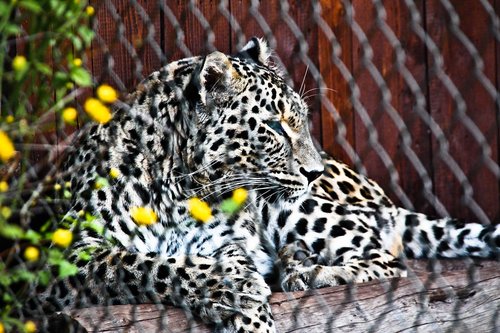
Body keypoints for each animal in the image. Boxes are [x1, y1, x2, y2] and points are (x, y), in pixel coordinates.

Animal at [29, 38, 498, 330]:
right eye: (273, 126)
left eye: (301, 121)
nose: (314, 172)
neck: (180, 188)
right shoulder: (62, 257)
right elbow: (146, 264)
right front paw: (233, 292)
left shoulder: (227, 239)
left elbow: (220, 260)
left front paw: (248, 298)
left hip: (294, 206)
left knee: (387, 257)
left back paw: (308, 272)